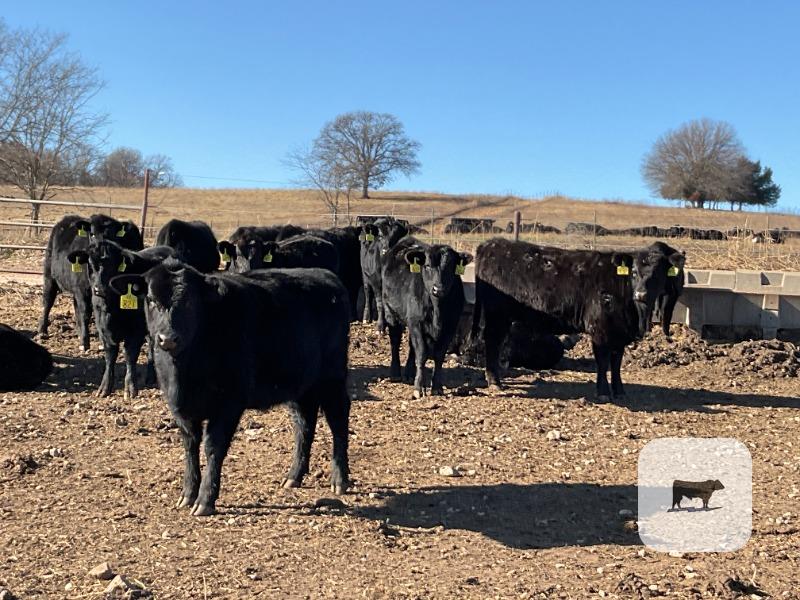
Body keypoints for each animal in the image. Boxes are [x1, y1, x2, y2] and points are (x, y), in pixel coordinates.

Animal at [38, 214, 143, 350]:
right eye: (92, 234)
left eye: (112, 235)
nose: (101, 249)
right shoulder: (82, 290)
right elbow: (85, 313)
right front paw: (85, 342)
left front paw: (102, 341)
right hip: (50, 277)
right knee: (48, 302)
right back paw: (42, 330)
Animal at [68, 240, 177, 398]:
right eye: (90, 263)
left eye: (113, 265)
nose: (99, 288)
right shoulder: (103, 329)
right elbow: (110, 356)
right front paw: (104, 388)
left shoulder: (135, 331)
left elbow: (130, 355)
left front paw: (130, 389)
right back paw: (150, 377)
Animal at [108, 261, 351, 516]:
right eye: (151, 299)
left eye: (190, 301)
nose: (168, 339)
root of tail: (325, 275)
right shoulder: (179, 408)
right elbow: (190, 445)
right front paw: (188, 494)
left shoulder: (229, 403)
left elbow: (213, 447)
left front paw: (205, 500)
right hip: (300, 384)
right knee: (304, 423)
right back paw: (294, 476)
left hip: (332, 376)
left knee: (338, 419)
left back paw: (339, 479)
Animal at [382, 237, 472, 398]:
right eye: (428, 266)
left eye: (451, 267)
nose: (438, 289)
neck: (438, 310)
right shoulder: (417, 323)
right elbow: (422, 354)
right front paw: (419, 388)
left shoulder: (450, 326)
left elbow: (439, 355)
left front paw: (436, 387)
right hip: (391, 312)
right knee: (395, 341)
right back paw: (395, 373)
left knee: (412, 347)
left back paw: (409, 373)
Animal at [473, 239, 640, 402]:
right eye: (634, 273)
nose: (641, 294)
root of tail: (490, 244)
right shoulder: (601, 330)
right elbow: (604, 361)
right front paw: (603, 393)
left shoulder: (620, 333)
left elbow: (616, 362)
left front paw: (619, 392)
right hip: (497, 316)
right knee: (493, 342)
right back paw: (494, 381)